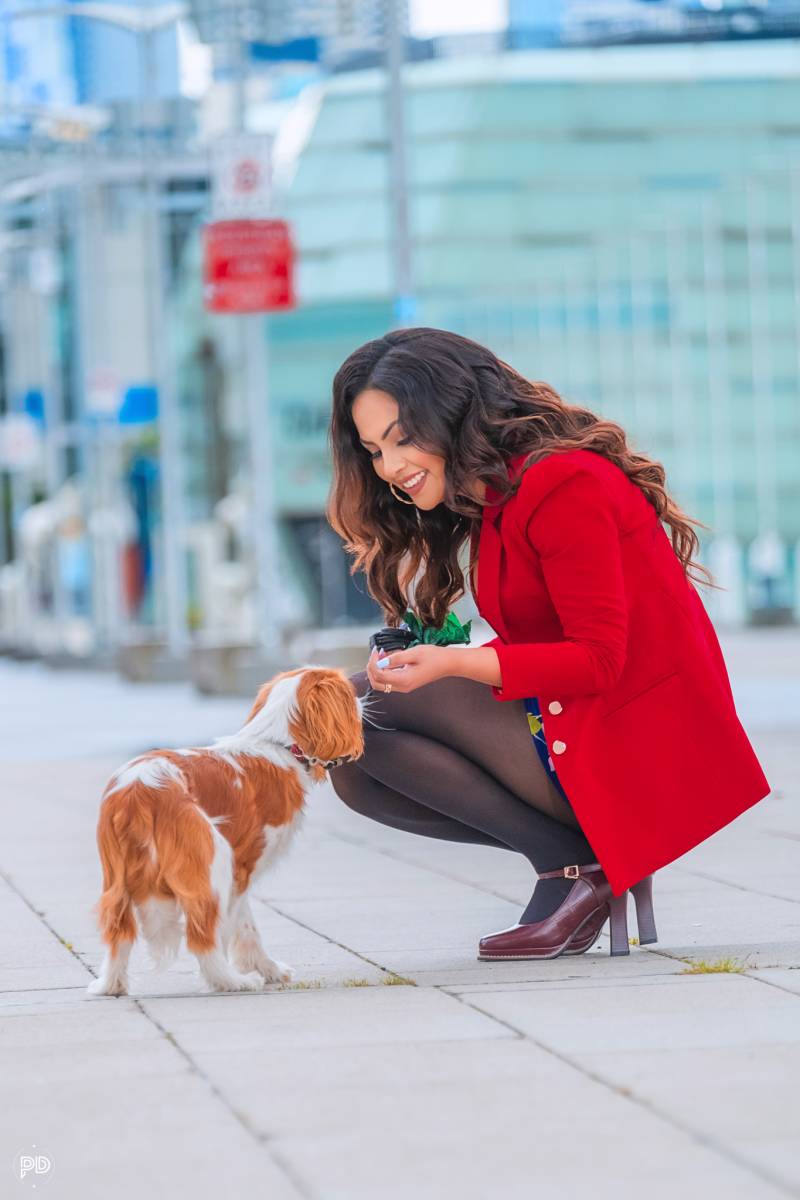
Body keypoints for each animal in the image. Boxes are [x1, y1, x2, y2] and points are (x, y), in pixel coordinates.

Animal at [86, 667, 362, 993]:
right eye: (350, 694)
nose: (363, 700)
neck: (274, 743)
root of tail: (137, 790)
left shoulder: (239, 873)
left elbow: (245, 924)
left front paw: (269, 969)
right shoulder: (244, 865)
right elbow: (240, 926)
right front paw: (260, 970)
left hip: (116, 877)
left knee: (118, 932)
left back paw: (111, 985)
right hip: (212, 860)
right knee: (201, 935)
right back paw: (230, 981)